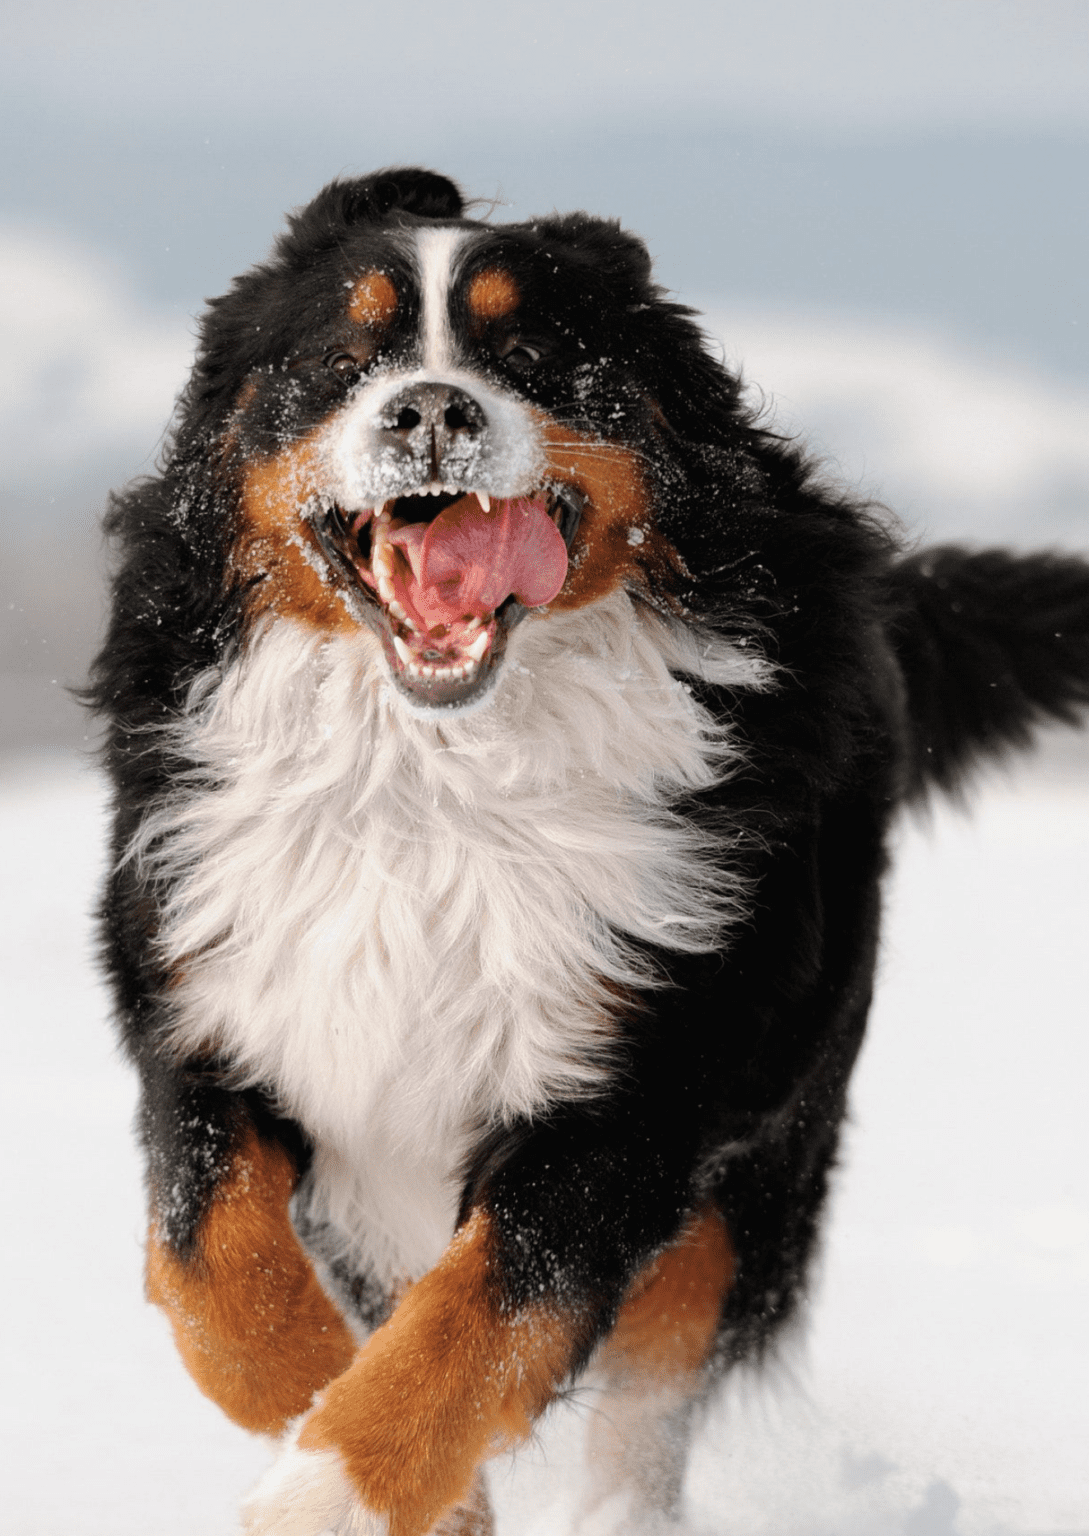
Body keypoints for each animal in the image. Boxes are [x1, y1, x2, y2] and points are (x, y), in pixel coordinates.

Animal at [91, 168, 1087, 1536]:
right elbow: (212, 1268)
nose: (432, 409)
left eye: (534, 356)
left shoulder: (640, 1088)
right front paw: (343, 1442)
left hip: (768, 1136)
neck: (434, 786)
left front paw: (327, 1491)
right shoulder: (211, 997)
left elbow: (477, 1323)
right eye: (341, 360)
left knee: (656, 1380)